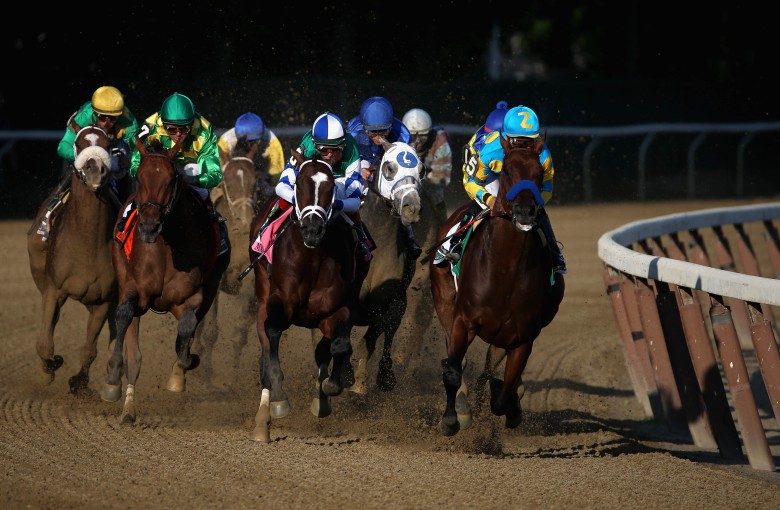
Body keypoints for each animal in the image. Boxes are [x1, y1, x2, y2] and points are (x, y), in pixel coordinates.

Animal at [26, 121, 120, 392]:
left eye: (108, 144)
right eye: (78, 143)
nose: (95, 170)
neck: (86, 244)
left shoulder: (103, 301)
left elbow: (89, 350)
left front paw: (80, 382)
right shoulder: (53, 290)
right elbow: (44, 343)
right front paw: (50, 367)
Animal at [100, 138, 229, 422]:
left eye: (171, 180)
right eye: (139, 176)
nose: (149, 227)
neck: (166, 249)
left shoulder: (193, 296)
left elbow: (186, 331)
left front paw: (183, 370)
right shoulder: (133, 290)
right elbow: (124, 318)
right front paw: (112, 378)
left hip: (213, 286)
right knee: (133, 351)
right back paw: (127, 408)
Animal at [251, 151, 370, 442]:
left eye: (330, 187)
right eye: (300, 184)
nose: (312, 230)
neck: (312, 258)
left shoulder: (337, 309)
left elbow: (339, 346)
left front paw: (329, 387)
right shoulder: (278, 303)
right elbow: (271, 335)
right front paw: (279, 400)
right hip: (261, 291)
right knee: (264, 341)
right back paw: (262, 420)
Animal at [350, 141, 424, 392]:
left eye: (421, 169)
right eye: (389, 167)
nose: (412, 207)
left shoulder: (394, 301)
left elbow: (374, 339)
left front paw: (377, 379)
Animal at [430, 134, 564, 434]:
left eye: (539, 174)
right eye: (507, 171)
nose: (525, 212)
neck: (504, 272)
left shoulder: (523, 337)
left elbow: (503, 396)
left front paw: (510, 404)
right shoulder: (463, 321)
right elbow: (453, 371)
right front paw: (451, 419)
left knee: (492, 370)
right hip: (445, 303)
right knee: (457, 360)